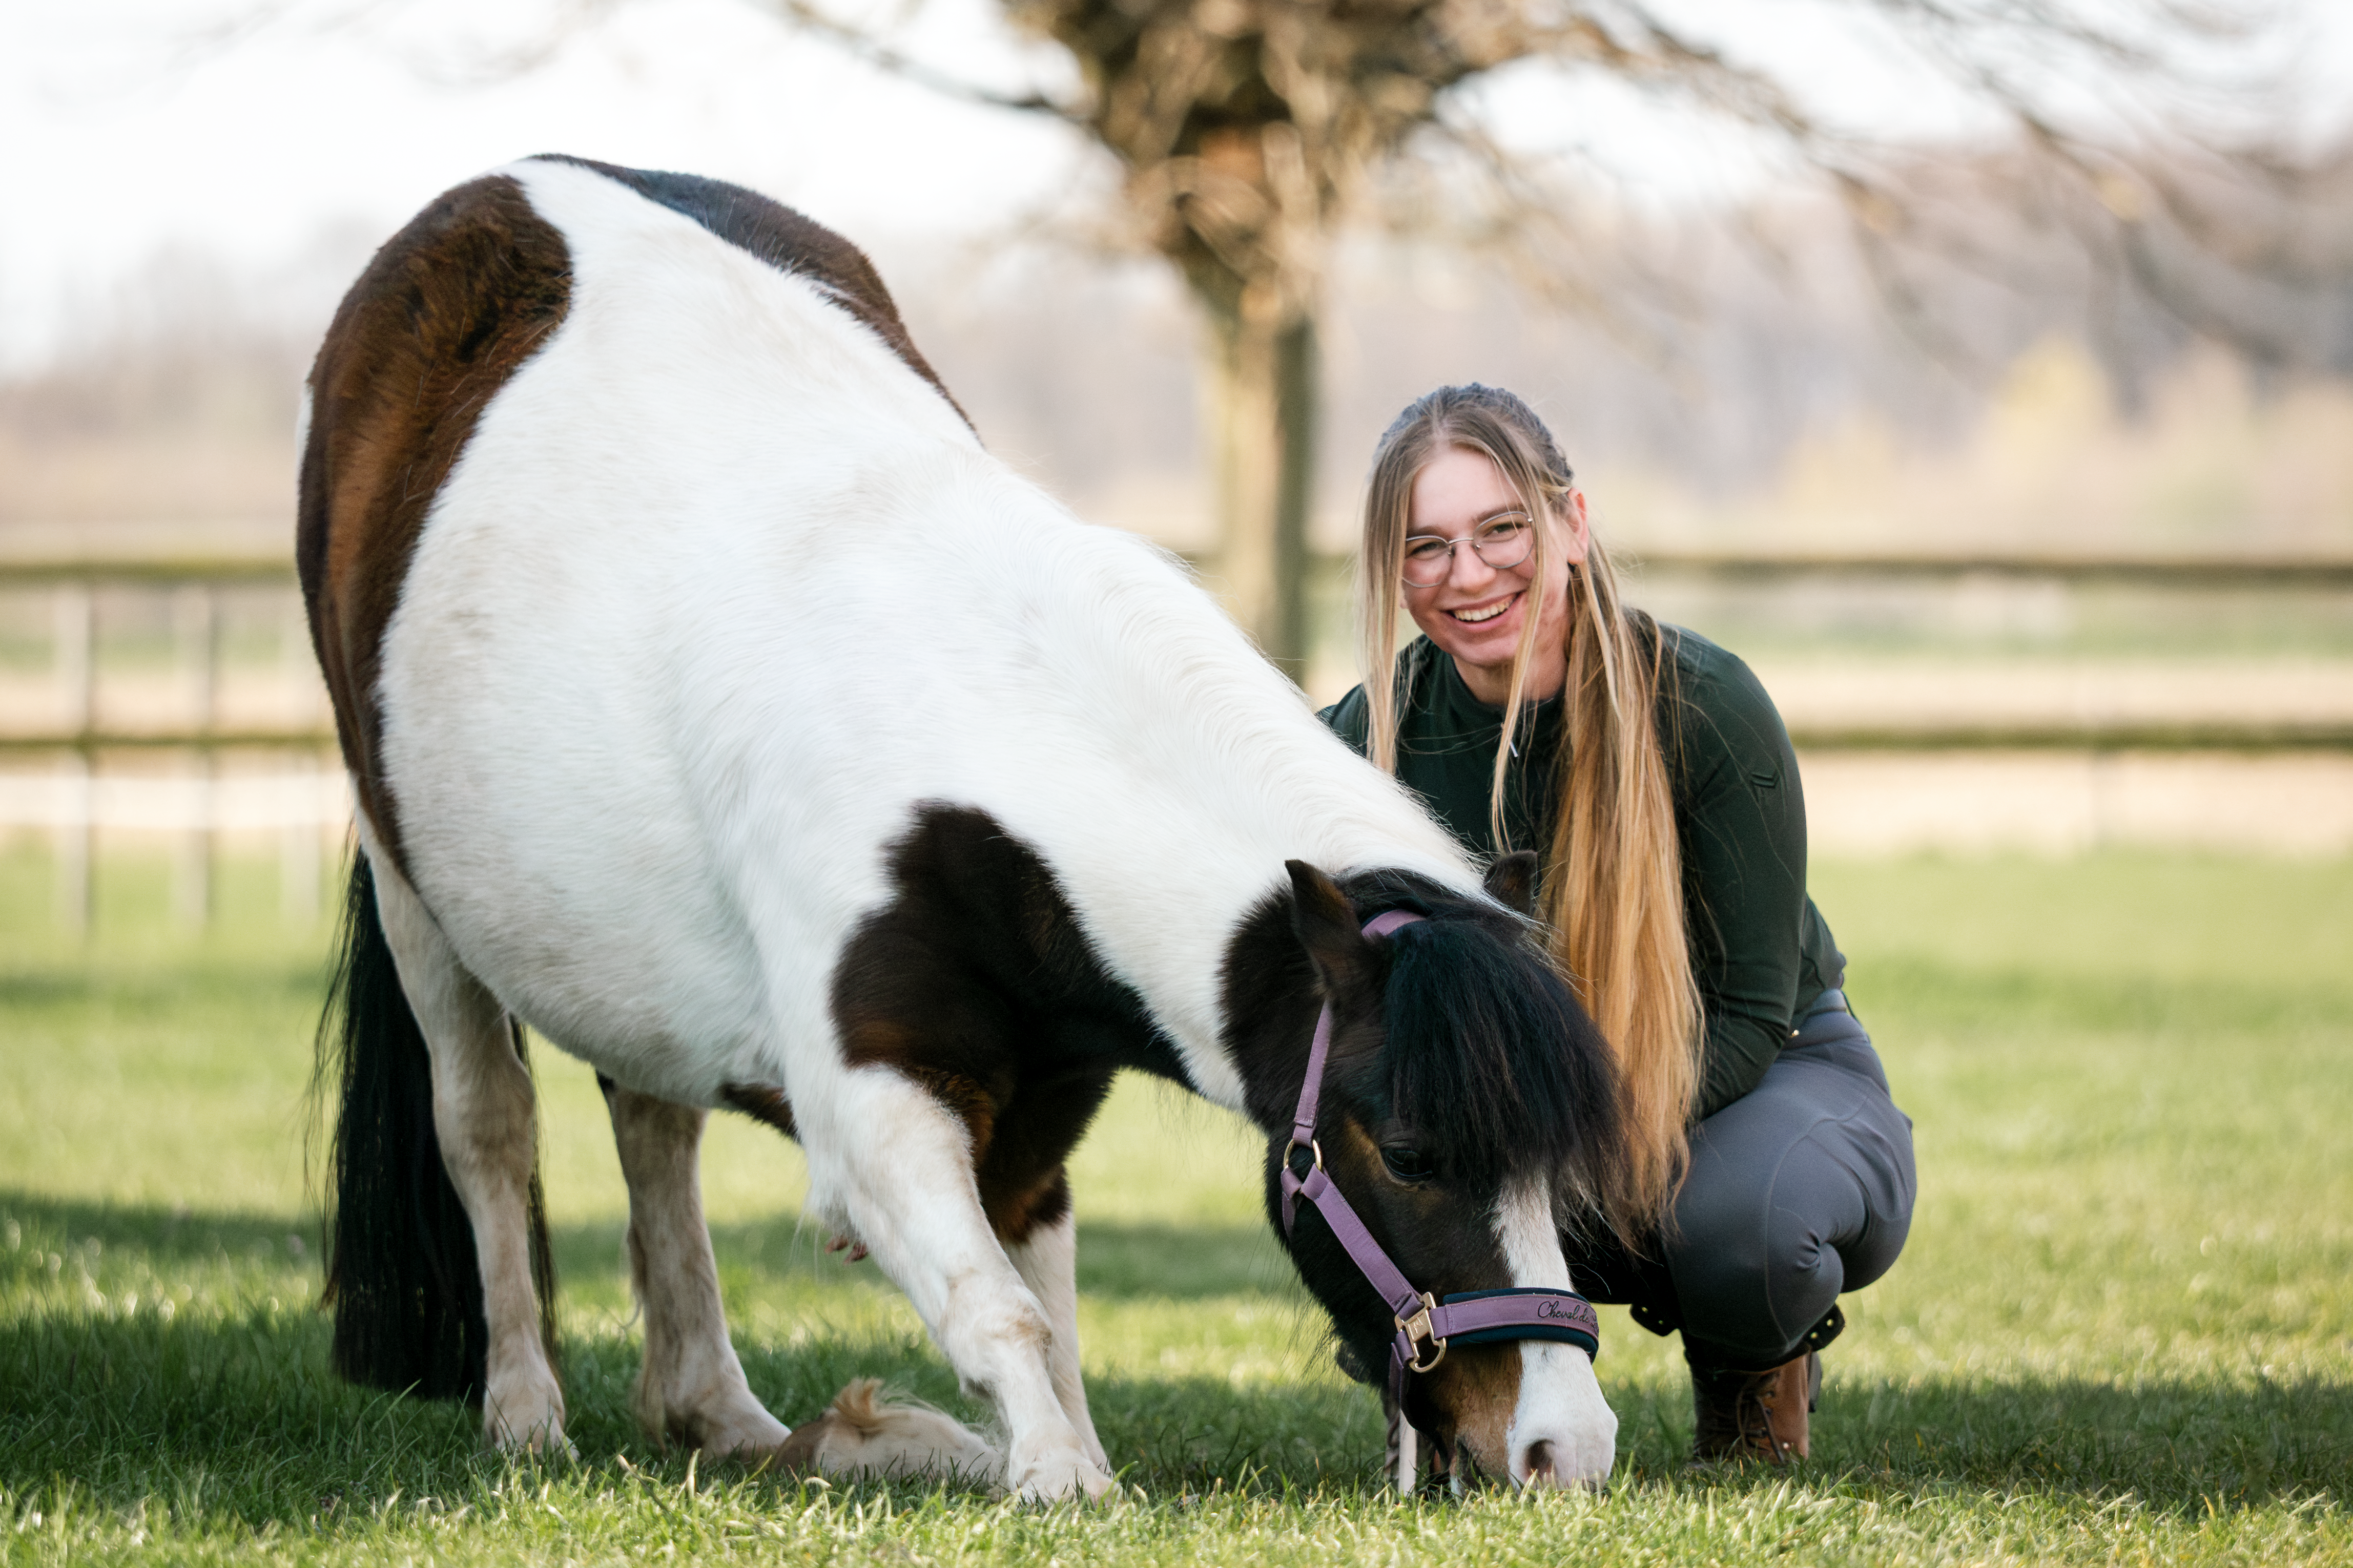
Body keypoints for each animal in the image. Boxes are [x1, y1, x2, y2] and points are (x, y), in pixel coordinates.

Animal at [298, 153, 1626, 1500]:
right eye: (1407, 1152)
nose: (1564, 1447)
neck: (962, 737)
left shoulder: (1039, 1103)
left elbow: (1048, 1305)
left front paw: (1023, 1450)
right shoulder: (875, 1111)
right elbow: (999, 1309)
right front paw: (1050, 1475)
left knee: (654, 1123)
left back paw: (714, 1410)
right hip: (419, 901)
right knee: (490, 1133)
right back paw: (524, 1412)